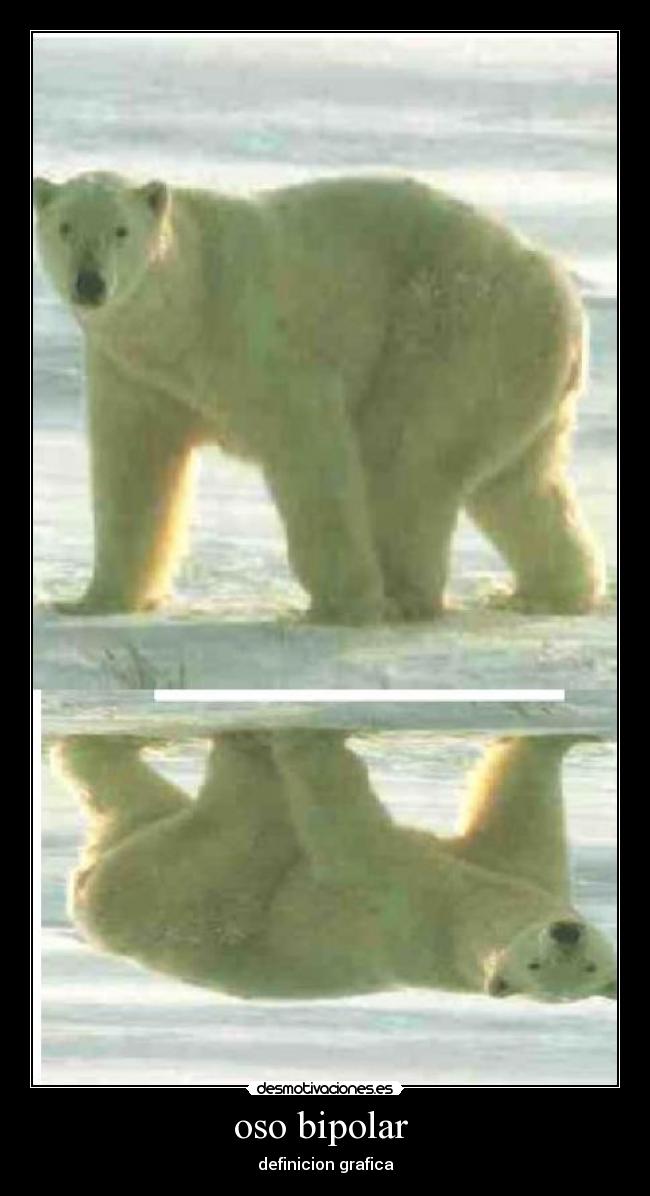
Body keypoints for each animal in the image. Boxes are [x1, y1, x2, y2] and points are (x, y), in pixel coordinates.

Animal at [33, 171, 604, 624]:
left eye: (119, 230)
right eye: (65, 228)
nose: (90, 283)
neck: (185, 310)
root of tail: (569, 306)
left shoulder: (259, 339)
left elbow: (312, 454)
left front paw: (340, 604)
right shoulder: (137, 375)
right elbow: (134, 472)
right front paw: (93, 601)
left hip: (457, 335)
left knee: (409, 463)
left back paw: (404, 597)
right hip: (516, 374)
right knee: (518, 482)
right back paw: (546, 593)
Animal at [52, 731, 617, 1002]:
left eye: (587, 969)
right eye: (539, 962)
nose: (566, 933)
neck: (460, 916)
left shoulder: (398, 908)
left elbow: (342, 821)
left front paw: (311, 741)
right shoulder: (525, 871)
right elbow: (517, 805)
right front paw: (553, 739)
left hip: (189, 890)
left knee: (236, 811)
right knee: (141, 803)